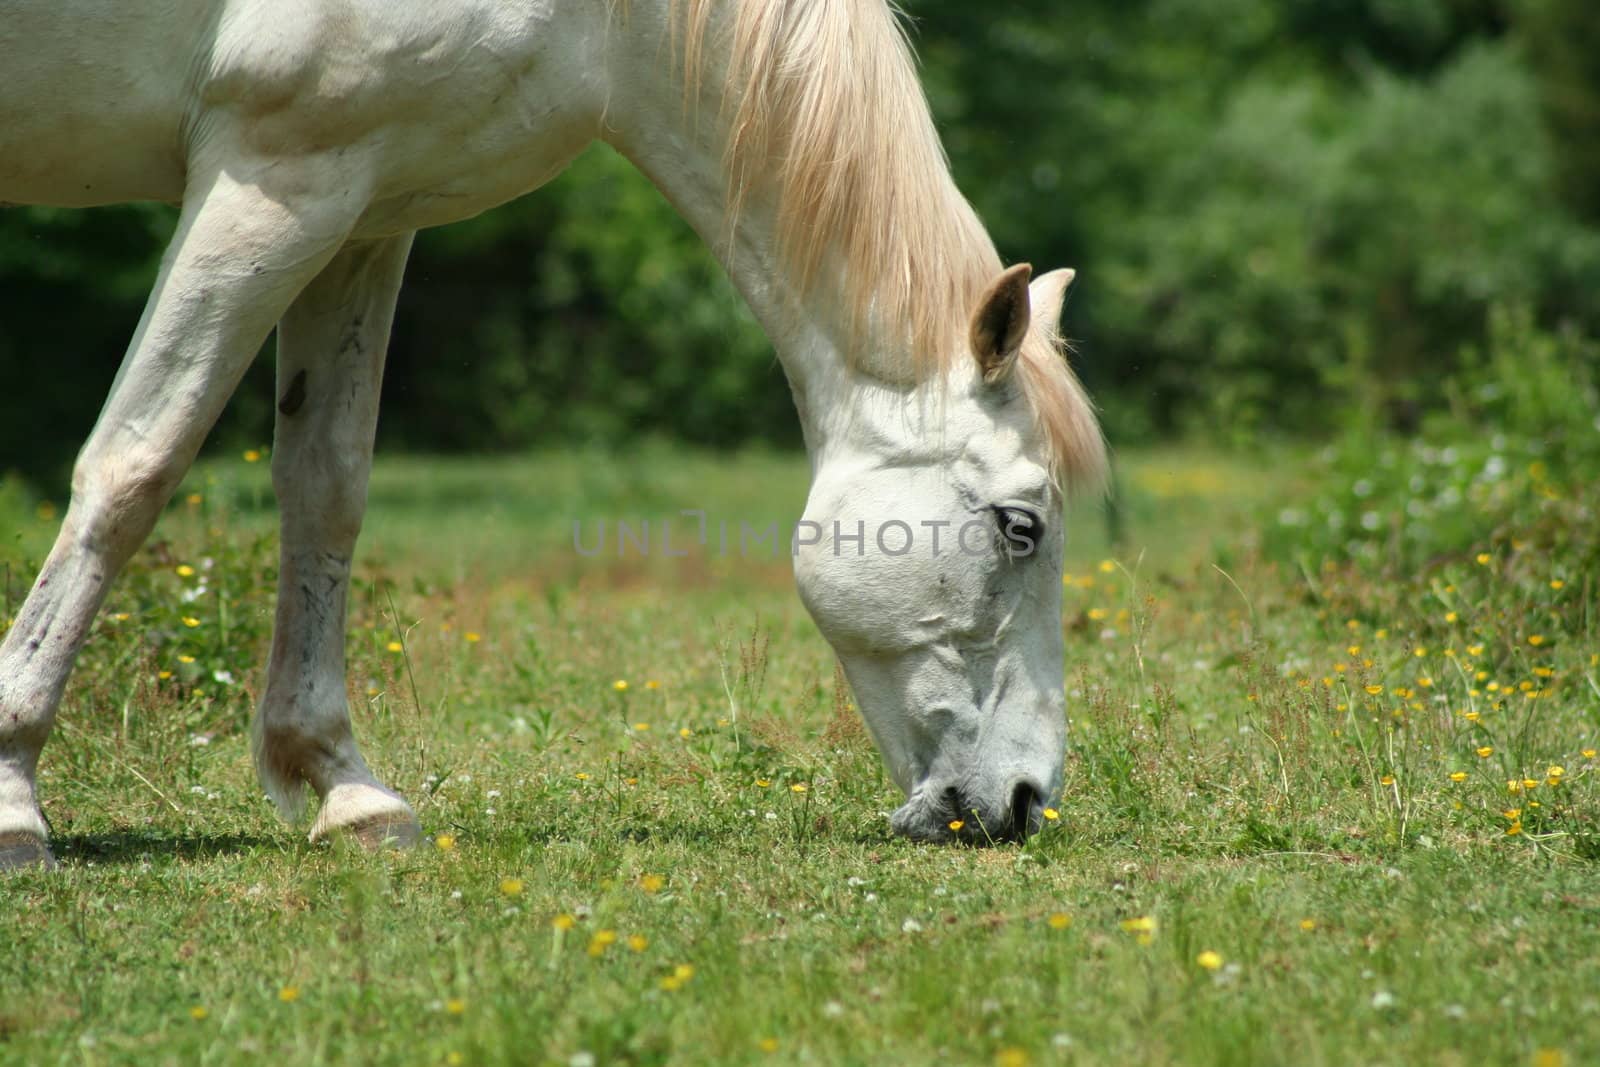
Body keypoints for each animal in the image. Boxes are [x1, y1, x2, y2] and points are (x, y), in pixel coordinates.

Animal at [0, 0, 1100, 870]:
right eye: (1021, 526)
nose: (1025, 800)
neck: (607, 16)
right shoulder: (272, 177)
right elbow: (135, 464)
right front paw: (14, 795)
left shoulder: (360, 208)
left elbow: (326, 489)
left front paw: (344, 787)